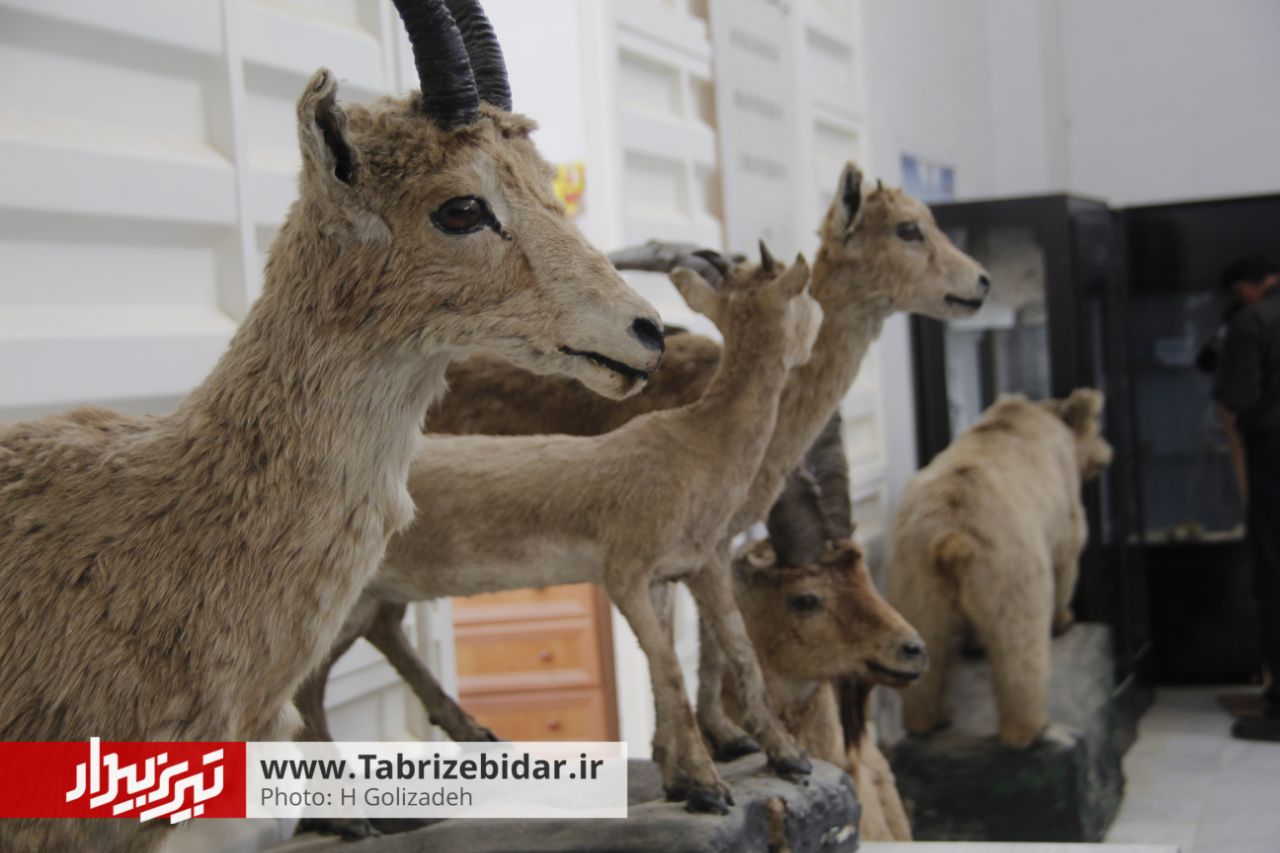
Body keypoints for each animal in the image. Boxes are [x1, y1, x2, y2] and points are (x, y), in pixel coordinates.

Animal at [888, 390, 1114, 748]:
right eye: (1099, 428)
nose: (1108, 455)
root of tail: (952, 538)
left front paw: (973, 642)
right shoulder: (1061, 501)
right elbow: (1068, 555)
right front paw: (1065, 619)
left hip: (916, 578)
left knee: (927, 642)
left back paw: (925, 720)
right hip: (1009, 565)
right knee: (1019, 643)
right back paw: (1028, 728)